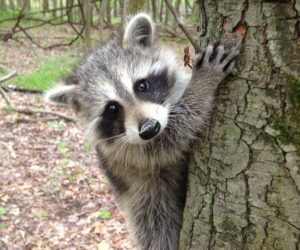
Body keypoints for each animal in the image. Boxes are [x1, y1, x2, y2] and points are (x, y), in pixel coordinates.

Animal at [45, 13, 240, 250]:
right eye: (112, 108)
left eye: (142, 86)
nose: (149, 128)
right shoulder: (128, 153)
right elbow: (169, 137)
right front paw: (201, 85)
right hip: (147, 202)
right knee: (158, 229)